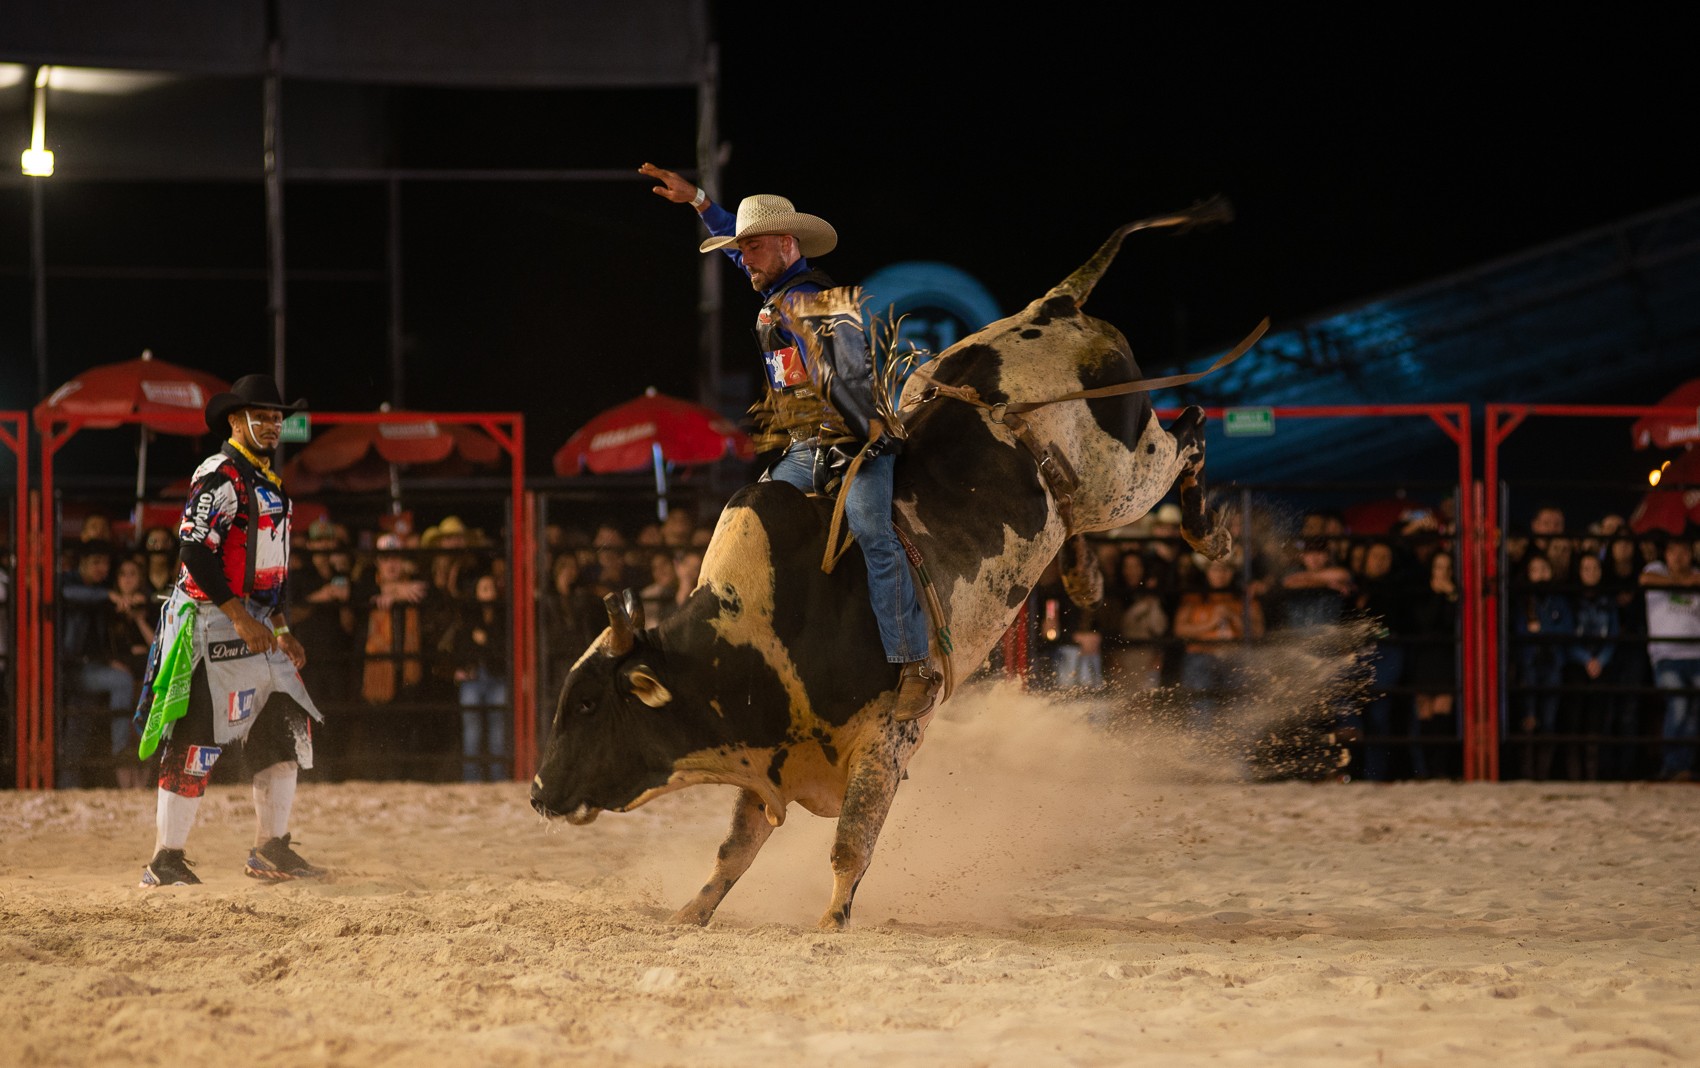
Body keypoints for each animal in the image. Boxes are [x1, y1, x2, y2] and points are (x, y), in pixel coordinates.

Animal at [530, 198, 1264, 925]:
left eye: (589, 704)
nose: (537, 792)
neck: (762, 634)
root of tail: (1053, 307)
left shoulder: (884, 743)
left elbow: (848, 848)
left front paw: (830, 925)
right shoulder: (768, 761)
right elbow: (734, 851)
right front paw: (690, 914)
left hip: (1126, 471)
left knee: (1190, 430)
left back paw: (1210, 535)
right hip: (1084, 492)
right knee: (1080, 514)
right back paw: (1086, 577)